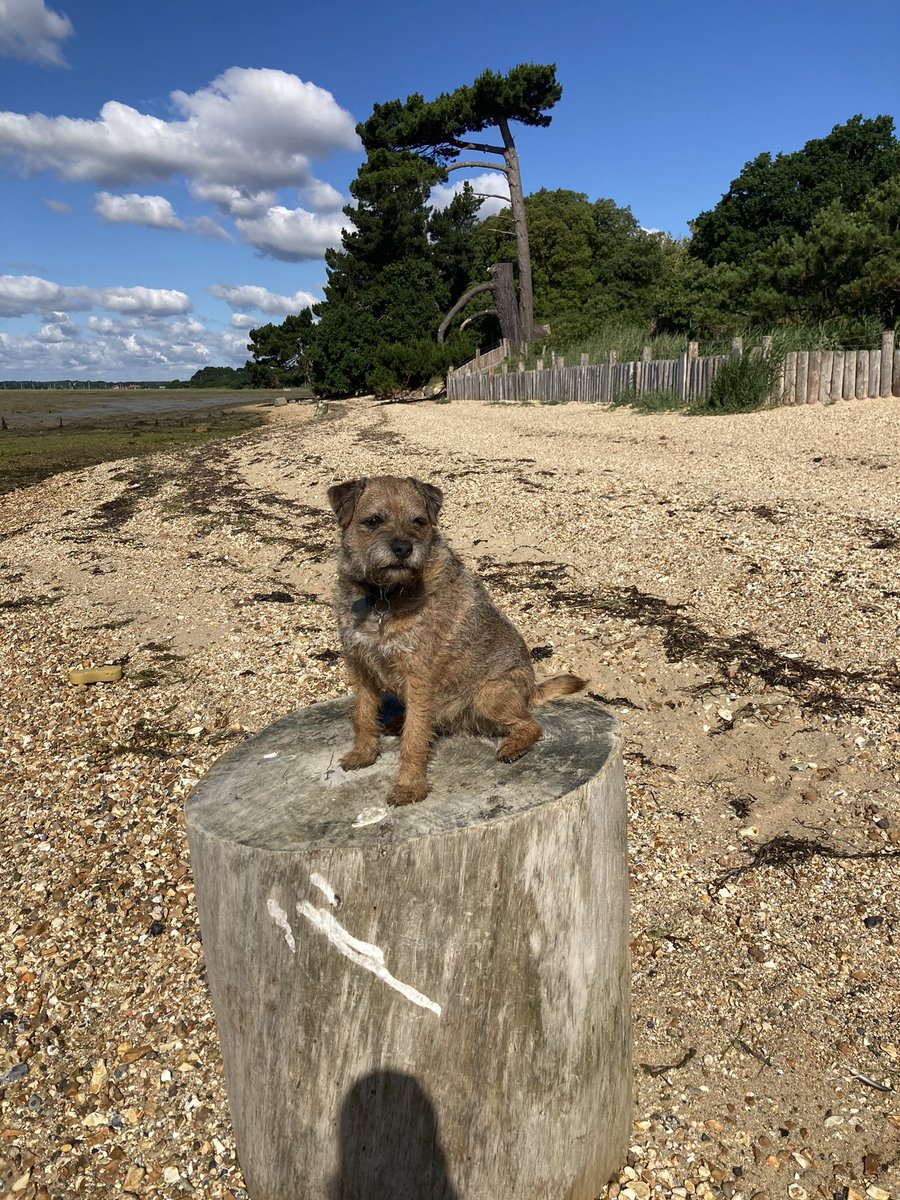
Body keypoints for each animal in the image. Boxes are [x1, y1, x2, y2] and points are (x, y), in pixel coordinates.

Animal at [328, 470, 588, 806]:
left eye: (418, 521)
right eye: (373, 521)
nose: (403, 548)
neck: (383, 595)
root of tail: (531, 689)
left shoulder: (418, 677)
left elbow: (414, 738)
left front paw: (410, 786)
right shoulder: (361, 668)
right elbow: (362, 715)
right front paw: (362, 754)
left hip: (489, 694)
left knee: (531, 723)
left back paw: (514, 745)